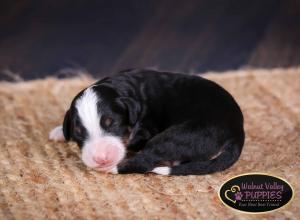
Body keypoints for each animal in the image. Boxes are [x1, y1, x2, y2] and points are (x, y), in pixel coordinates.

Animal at [49, 69, 245, 175]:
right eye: (79, 132)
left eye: (112, 123)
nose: (101, 159)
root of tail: (237, 133)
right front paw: (59, 131)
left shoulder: (145, 130)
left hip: (178, 137)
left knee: (146, 160)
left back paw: (113, 168)